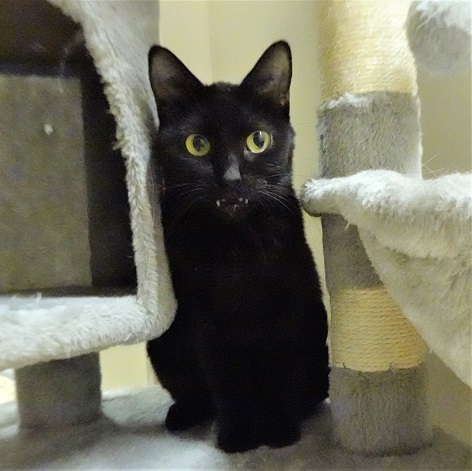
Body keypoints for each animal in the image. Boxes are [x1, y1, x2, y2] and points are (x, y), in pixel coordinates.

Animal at [146, 41, 329, 453]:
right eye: (197, 145)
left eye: (257, 140)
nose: (230, 180)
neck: (236, 248)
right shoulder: (206, 318)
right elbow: (226, 380)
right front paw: (238, 436)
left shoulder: (289, 308)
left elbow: (281, 373)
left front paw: (279, 432)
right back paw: (184, 415)